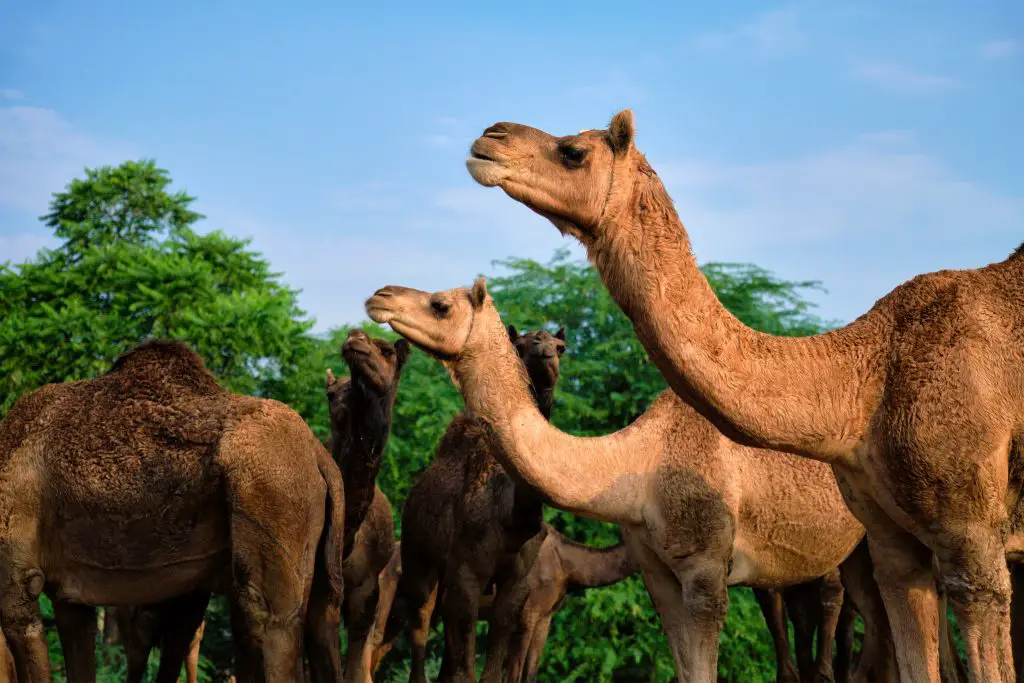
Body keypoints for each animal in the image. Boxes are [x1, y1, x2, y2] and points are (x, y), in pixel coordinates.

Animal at [0, 339, 346, 683]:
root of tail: (319, 455)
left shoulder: (17, 571)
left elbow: (21, 619)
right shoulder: (69, 593)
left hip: (271, 495)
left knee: (271, 618)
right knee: (320, 619)